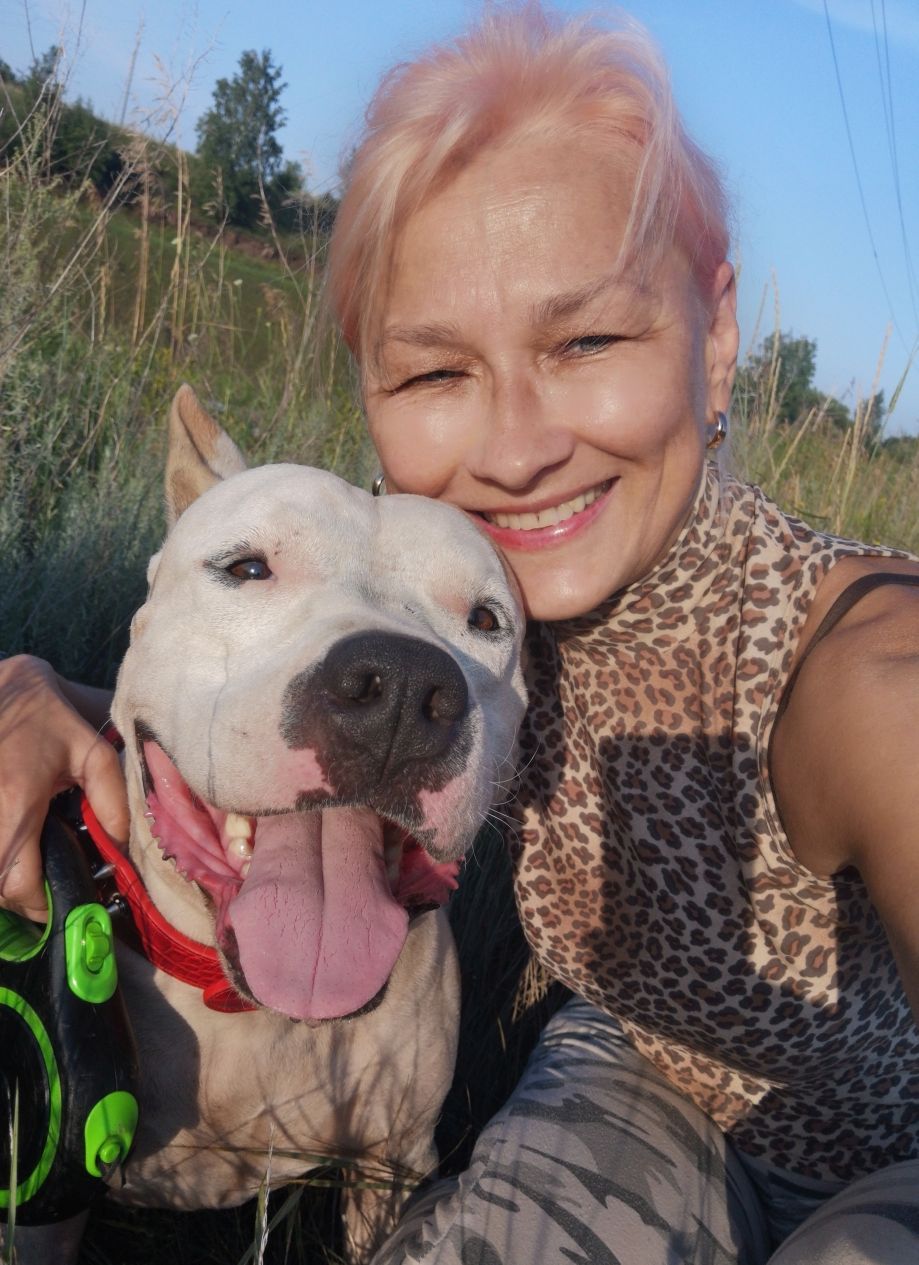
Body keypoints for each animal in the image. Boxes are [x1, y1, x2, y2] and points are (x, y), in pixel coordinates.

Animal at [14, 386, 526, 1264]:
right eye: (246, 568)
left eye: (487, 621)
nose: (400, 690)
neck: (250, 1008)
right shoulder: (54, 1188)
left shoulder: (390, 1167)